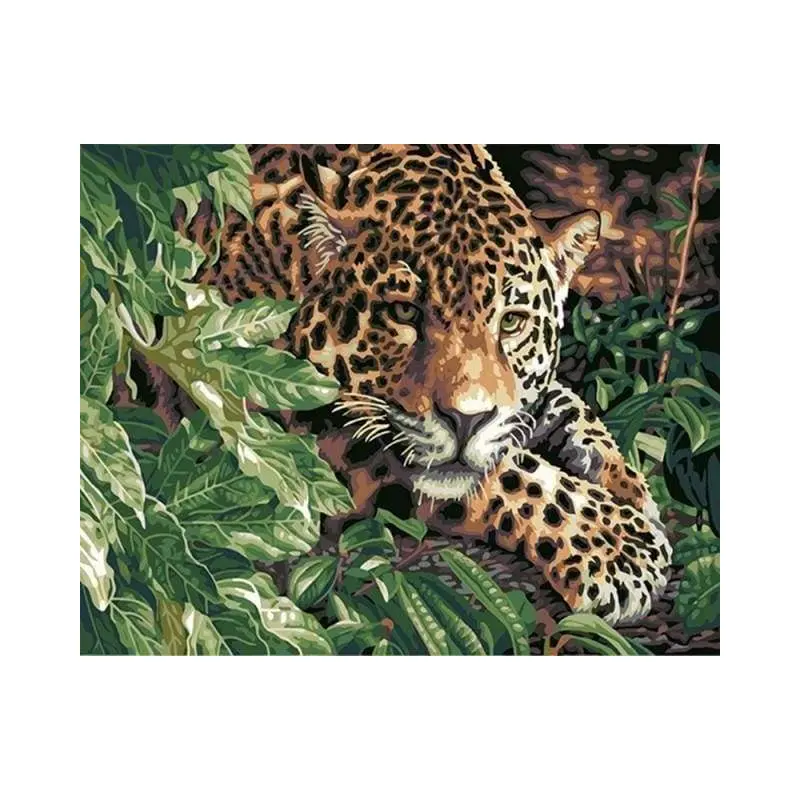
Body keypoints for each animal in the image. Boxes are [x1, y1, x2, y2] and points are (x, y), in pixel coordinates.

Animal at [184, 144, 672, 626]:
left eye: (511, 322)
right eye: (404, 312)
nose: (465, 420)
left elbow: (562, 407)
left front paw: (628, 484)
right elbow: (510, 473)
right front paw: (620, 545)